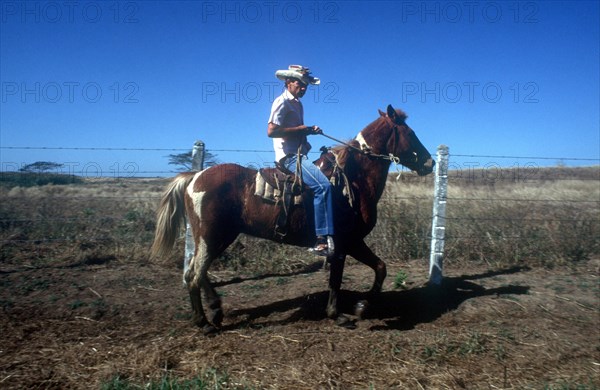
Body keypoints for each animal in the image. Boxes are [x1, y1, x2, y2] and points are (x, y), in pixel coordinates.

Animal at [152, 105, 434, 334]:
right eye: (410, 133)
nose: (430, 163)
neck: (353, 180)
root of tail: (195, 177)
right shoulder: (346, 243)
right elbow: (341, 278)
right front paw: (348, 311)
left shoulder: (350, 244)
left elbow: (378, 268)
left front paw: (359, 307)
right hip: (212, 236)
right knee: (194, 273)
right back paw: (205, 321)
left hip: (215, 237)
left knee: (197, 270)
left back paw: (213, 311)